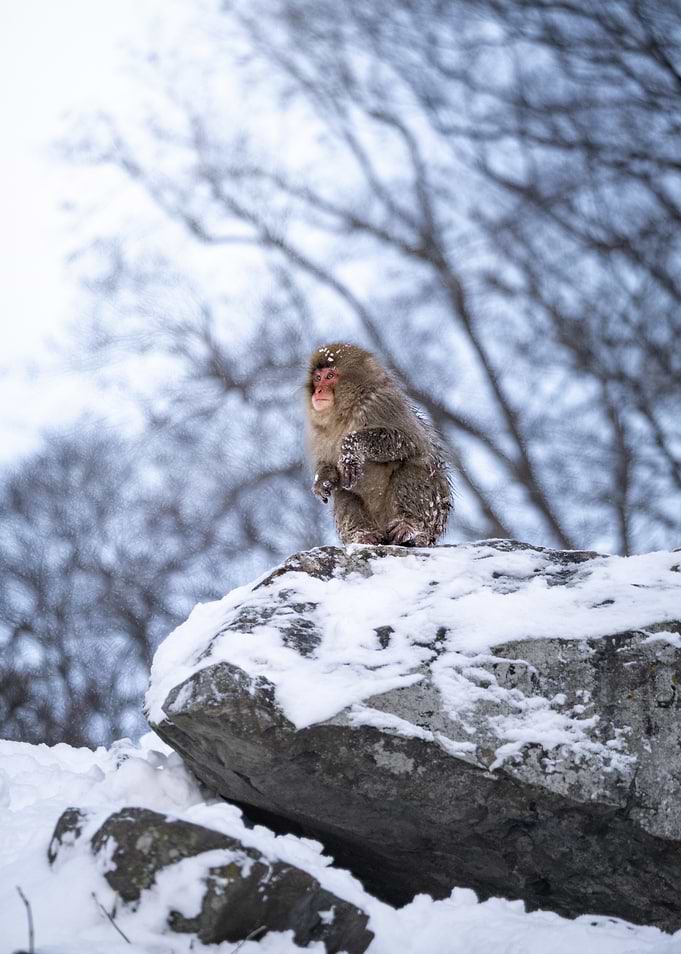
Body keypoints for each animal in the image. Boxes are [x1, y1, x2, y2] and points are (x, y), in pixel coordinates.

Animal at [306, 343, 453, 546]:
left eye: (329, 376)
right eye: (317, 378)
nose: (318, 391)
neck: (347, 411)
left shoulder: (382, 404)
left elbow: (409, 441)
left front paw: (350, 448)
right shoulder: (319, 430)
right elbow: (327, 465)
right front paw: (323, 479)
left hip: (433, 516)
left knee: (413, 468)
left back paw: (409, 526)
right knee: (344, 492)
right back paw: (364, 535)